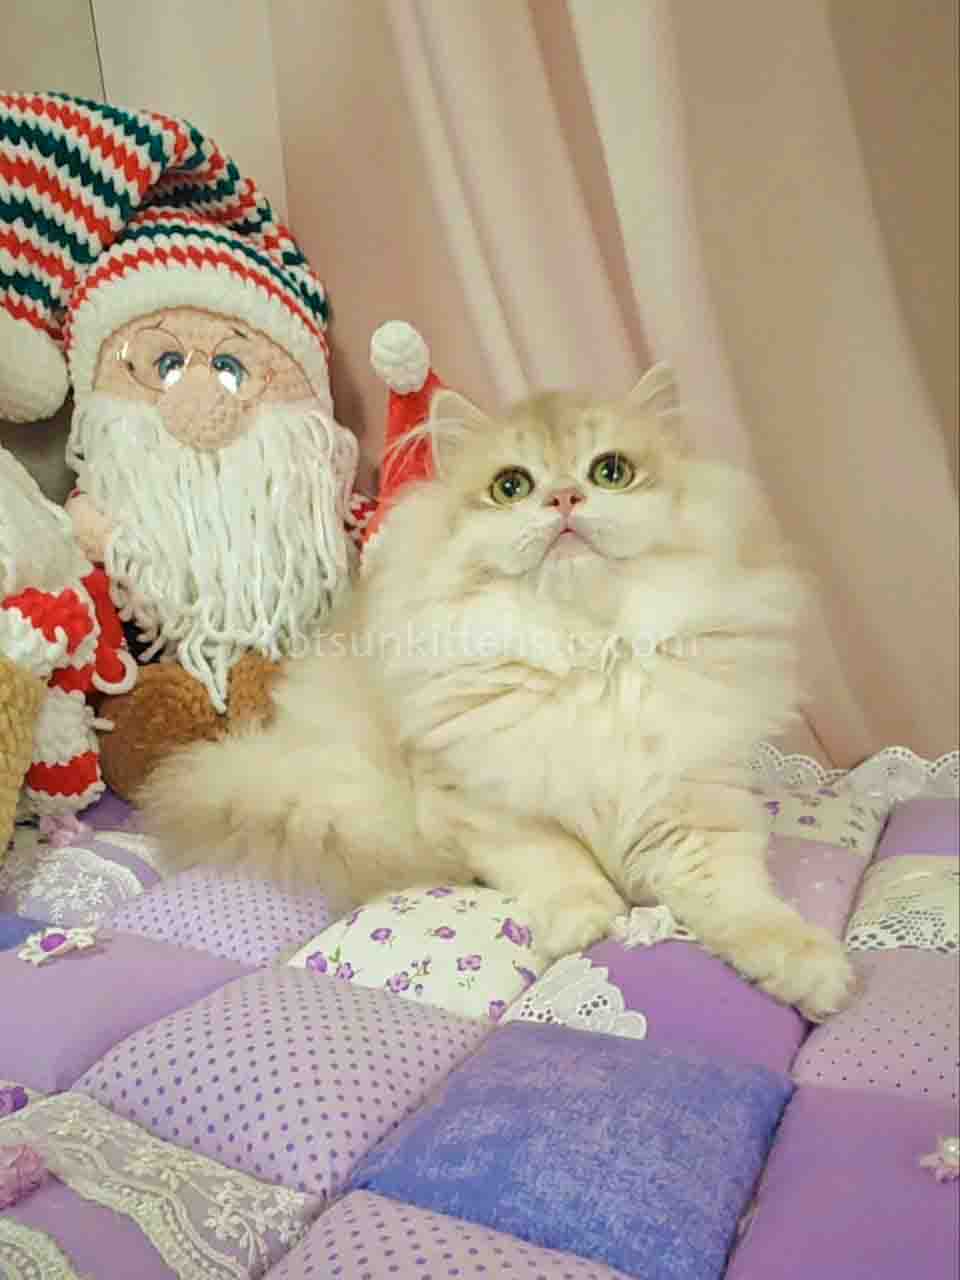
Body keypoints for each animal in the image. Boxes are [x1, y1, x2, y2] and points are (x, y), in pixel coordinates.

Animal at [141, 365, 855, 1021]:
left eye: (611, 472)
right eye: (511, 487)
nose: (564, 499)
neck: (584, 657)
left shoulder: (690, 812)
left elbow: (746, 907)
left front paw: (817, 976)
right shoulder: (485, 804)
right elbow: (559, 862)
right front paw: (586, 922)